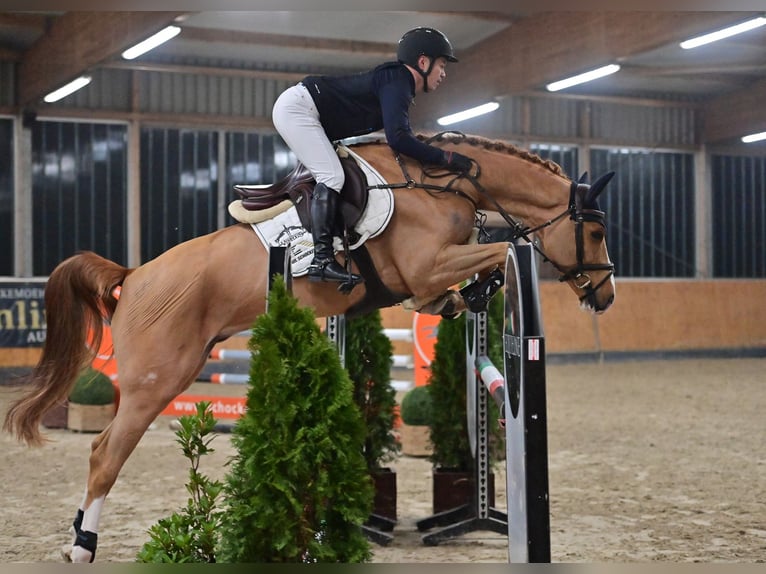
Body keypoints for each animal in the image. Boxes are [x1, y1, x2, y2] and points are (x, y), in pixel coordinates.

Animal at [3, 133, 616, 564]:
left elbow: (466, 277)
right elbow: (495, 253)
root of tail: (133, 276)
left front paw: (468, 296)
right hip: (157, 381)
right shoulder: (426, 268)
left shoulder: (425, 280)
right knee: (105, 452)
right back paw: (82, 546)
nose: (605, 296)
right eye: (597, 231)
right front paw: (484, 285)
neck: (444, 187)